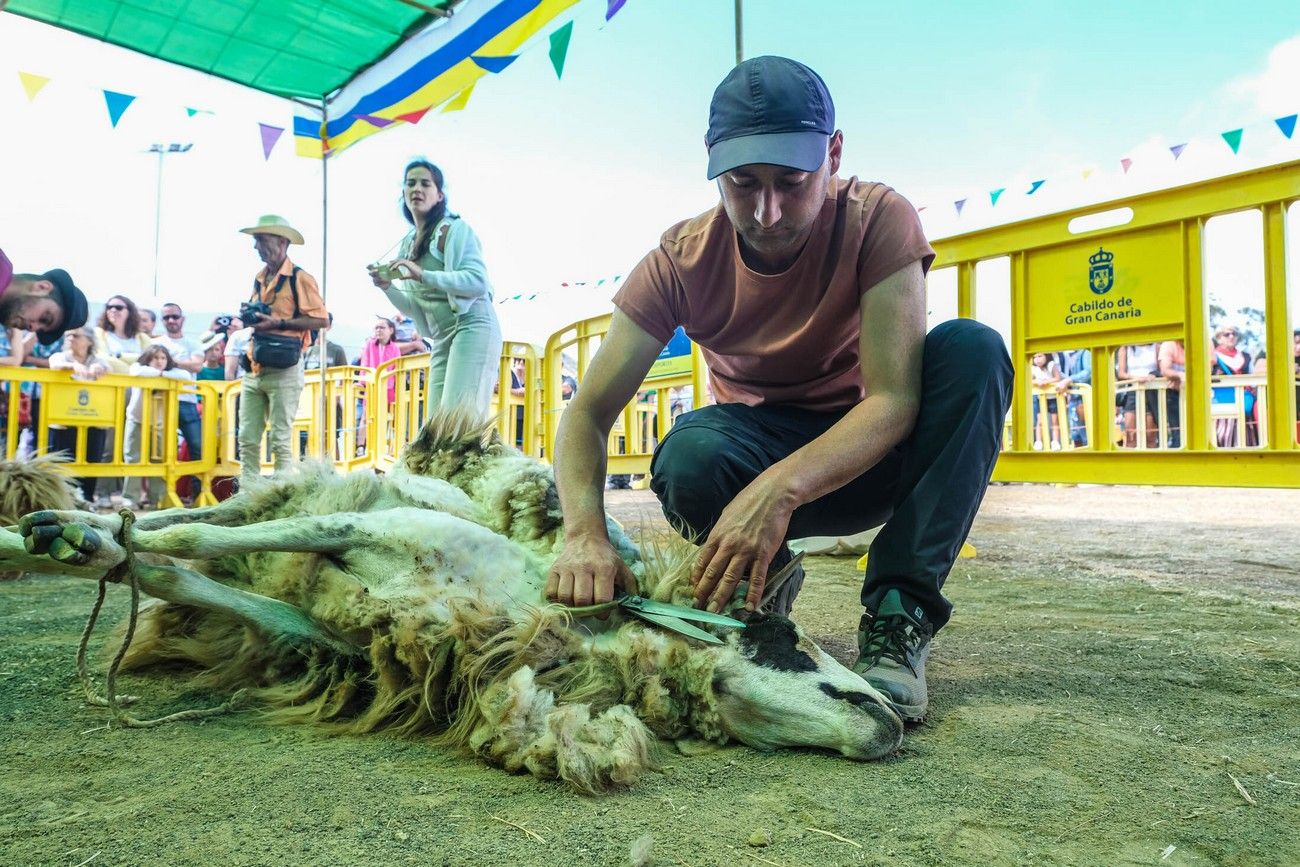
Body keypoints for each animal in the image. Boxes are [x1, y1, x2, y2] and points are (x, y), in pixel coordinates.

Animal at [0, 413, 899, 795]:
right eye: (786, 636)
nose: (891, 722)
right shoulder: (368, 523)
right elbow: (188, 542)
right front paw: (65, 536)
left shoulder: (326, 628)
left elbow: (181, 575)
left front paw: (99, 552)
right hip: (297, 488)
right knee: (185, 519)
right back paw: (58, 524)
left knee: (181, 547)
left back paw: (80, 537)